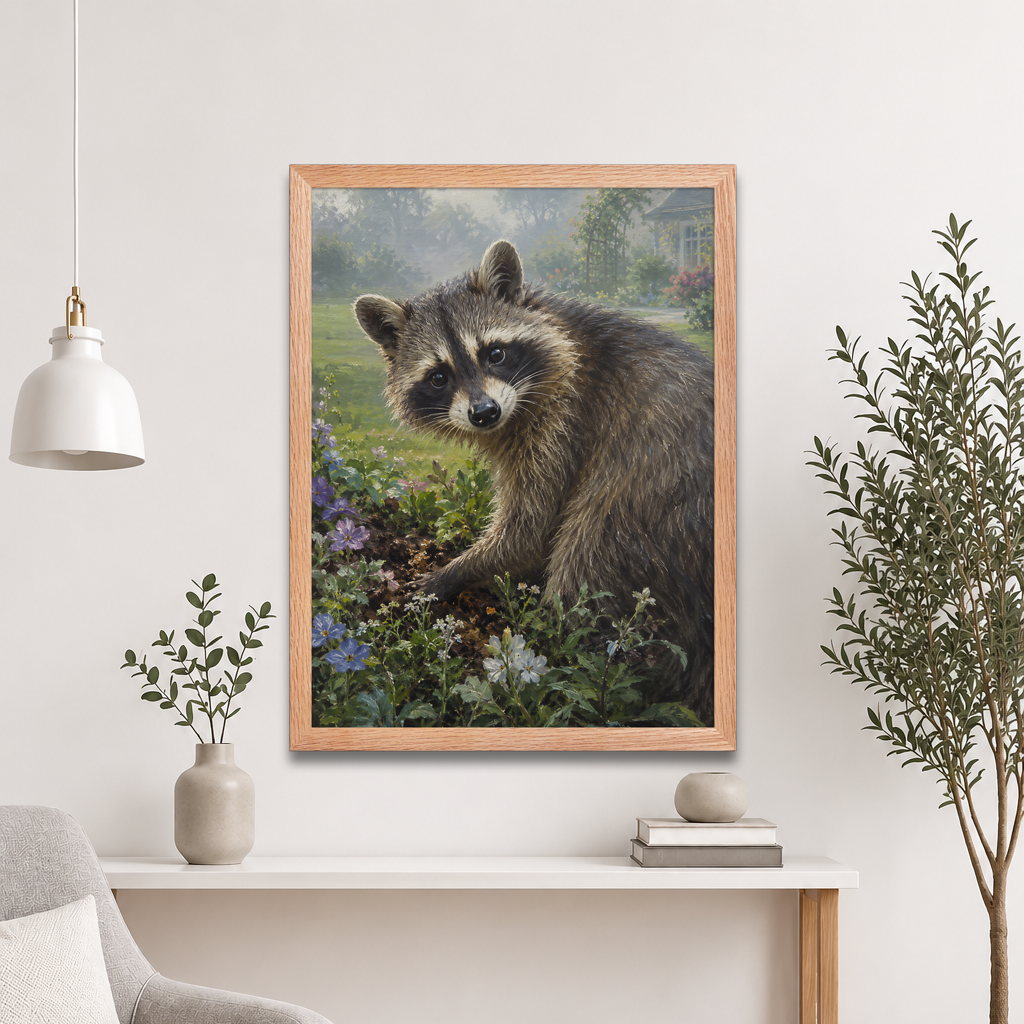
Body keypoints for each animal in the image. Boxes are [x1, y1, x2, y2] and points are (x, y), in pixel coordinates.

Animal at [354, 240, 715, 721]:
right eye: (438, 376)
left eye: (495, 353)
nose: (484, 413)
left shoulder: (565, 422)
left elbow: (529, 530)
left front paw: (454, 572)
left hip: (648, 511)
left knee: (587, 563)